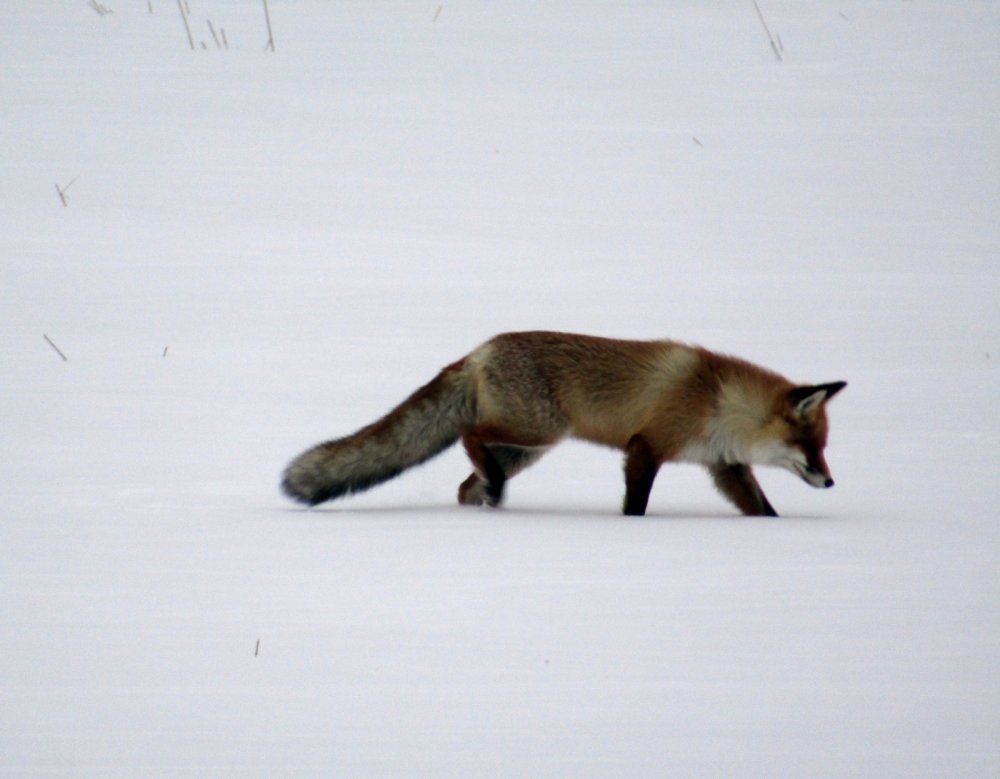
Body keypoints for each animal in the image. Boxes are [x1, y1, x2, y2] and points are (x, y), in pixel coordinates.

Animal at [281, 331, 846, 517]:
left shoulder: (723, 467)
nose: (830, 481)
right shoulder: (645, 447)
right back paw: (492, 493)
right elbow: (635, 506)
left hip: (527, 449)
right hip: (539, 432)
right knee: (469, 435)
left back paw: (485, 503)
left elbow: (763, 511)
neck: (717, 402)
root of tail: (480, 349)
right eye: (812, 444)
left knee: (468, 480)